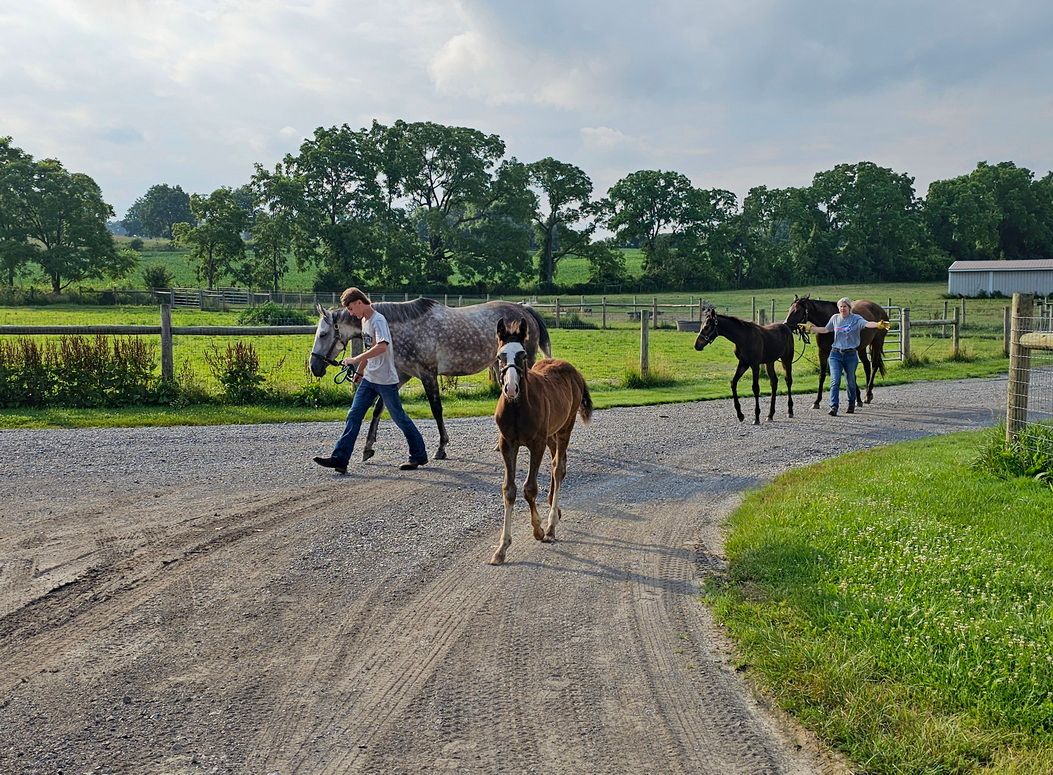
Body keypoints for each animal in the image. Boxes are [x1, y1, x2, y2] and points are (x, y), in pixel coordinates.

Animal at [310, 298, 552, 462]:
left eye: (323, 334)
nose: (314, 367)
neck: (403, 328)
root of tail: (524, 309)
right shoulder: (403, 375)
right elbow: (379, 407)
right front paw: (368, 448)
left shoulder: (428, 374)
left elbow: (436, 409)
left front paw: (441, 448)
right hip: (500, 367)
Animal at [490, 316, 592, 566]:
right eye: (500, 356)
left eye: (523, 355)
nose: (511, 388)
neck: (517, 407)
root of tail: (573, 370)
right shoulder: (508, 444)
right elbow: (509, 490)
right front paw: (502, 548)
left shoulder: (536, 444)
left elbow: (529, 488)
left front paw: (538, 530)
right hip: (551, 435)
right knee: (561, 465)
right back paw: (555, 509)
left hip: (564, 428)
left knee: (557, 467)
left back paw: (552, 525)